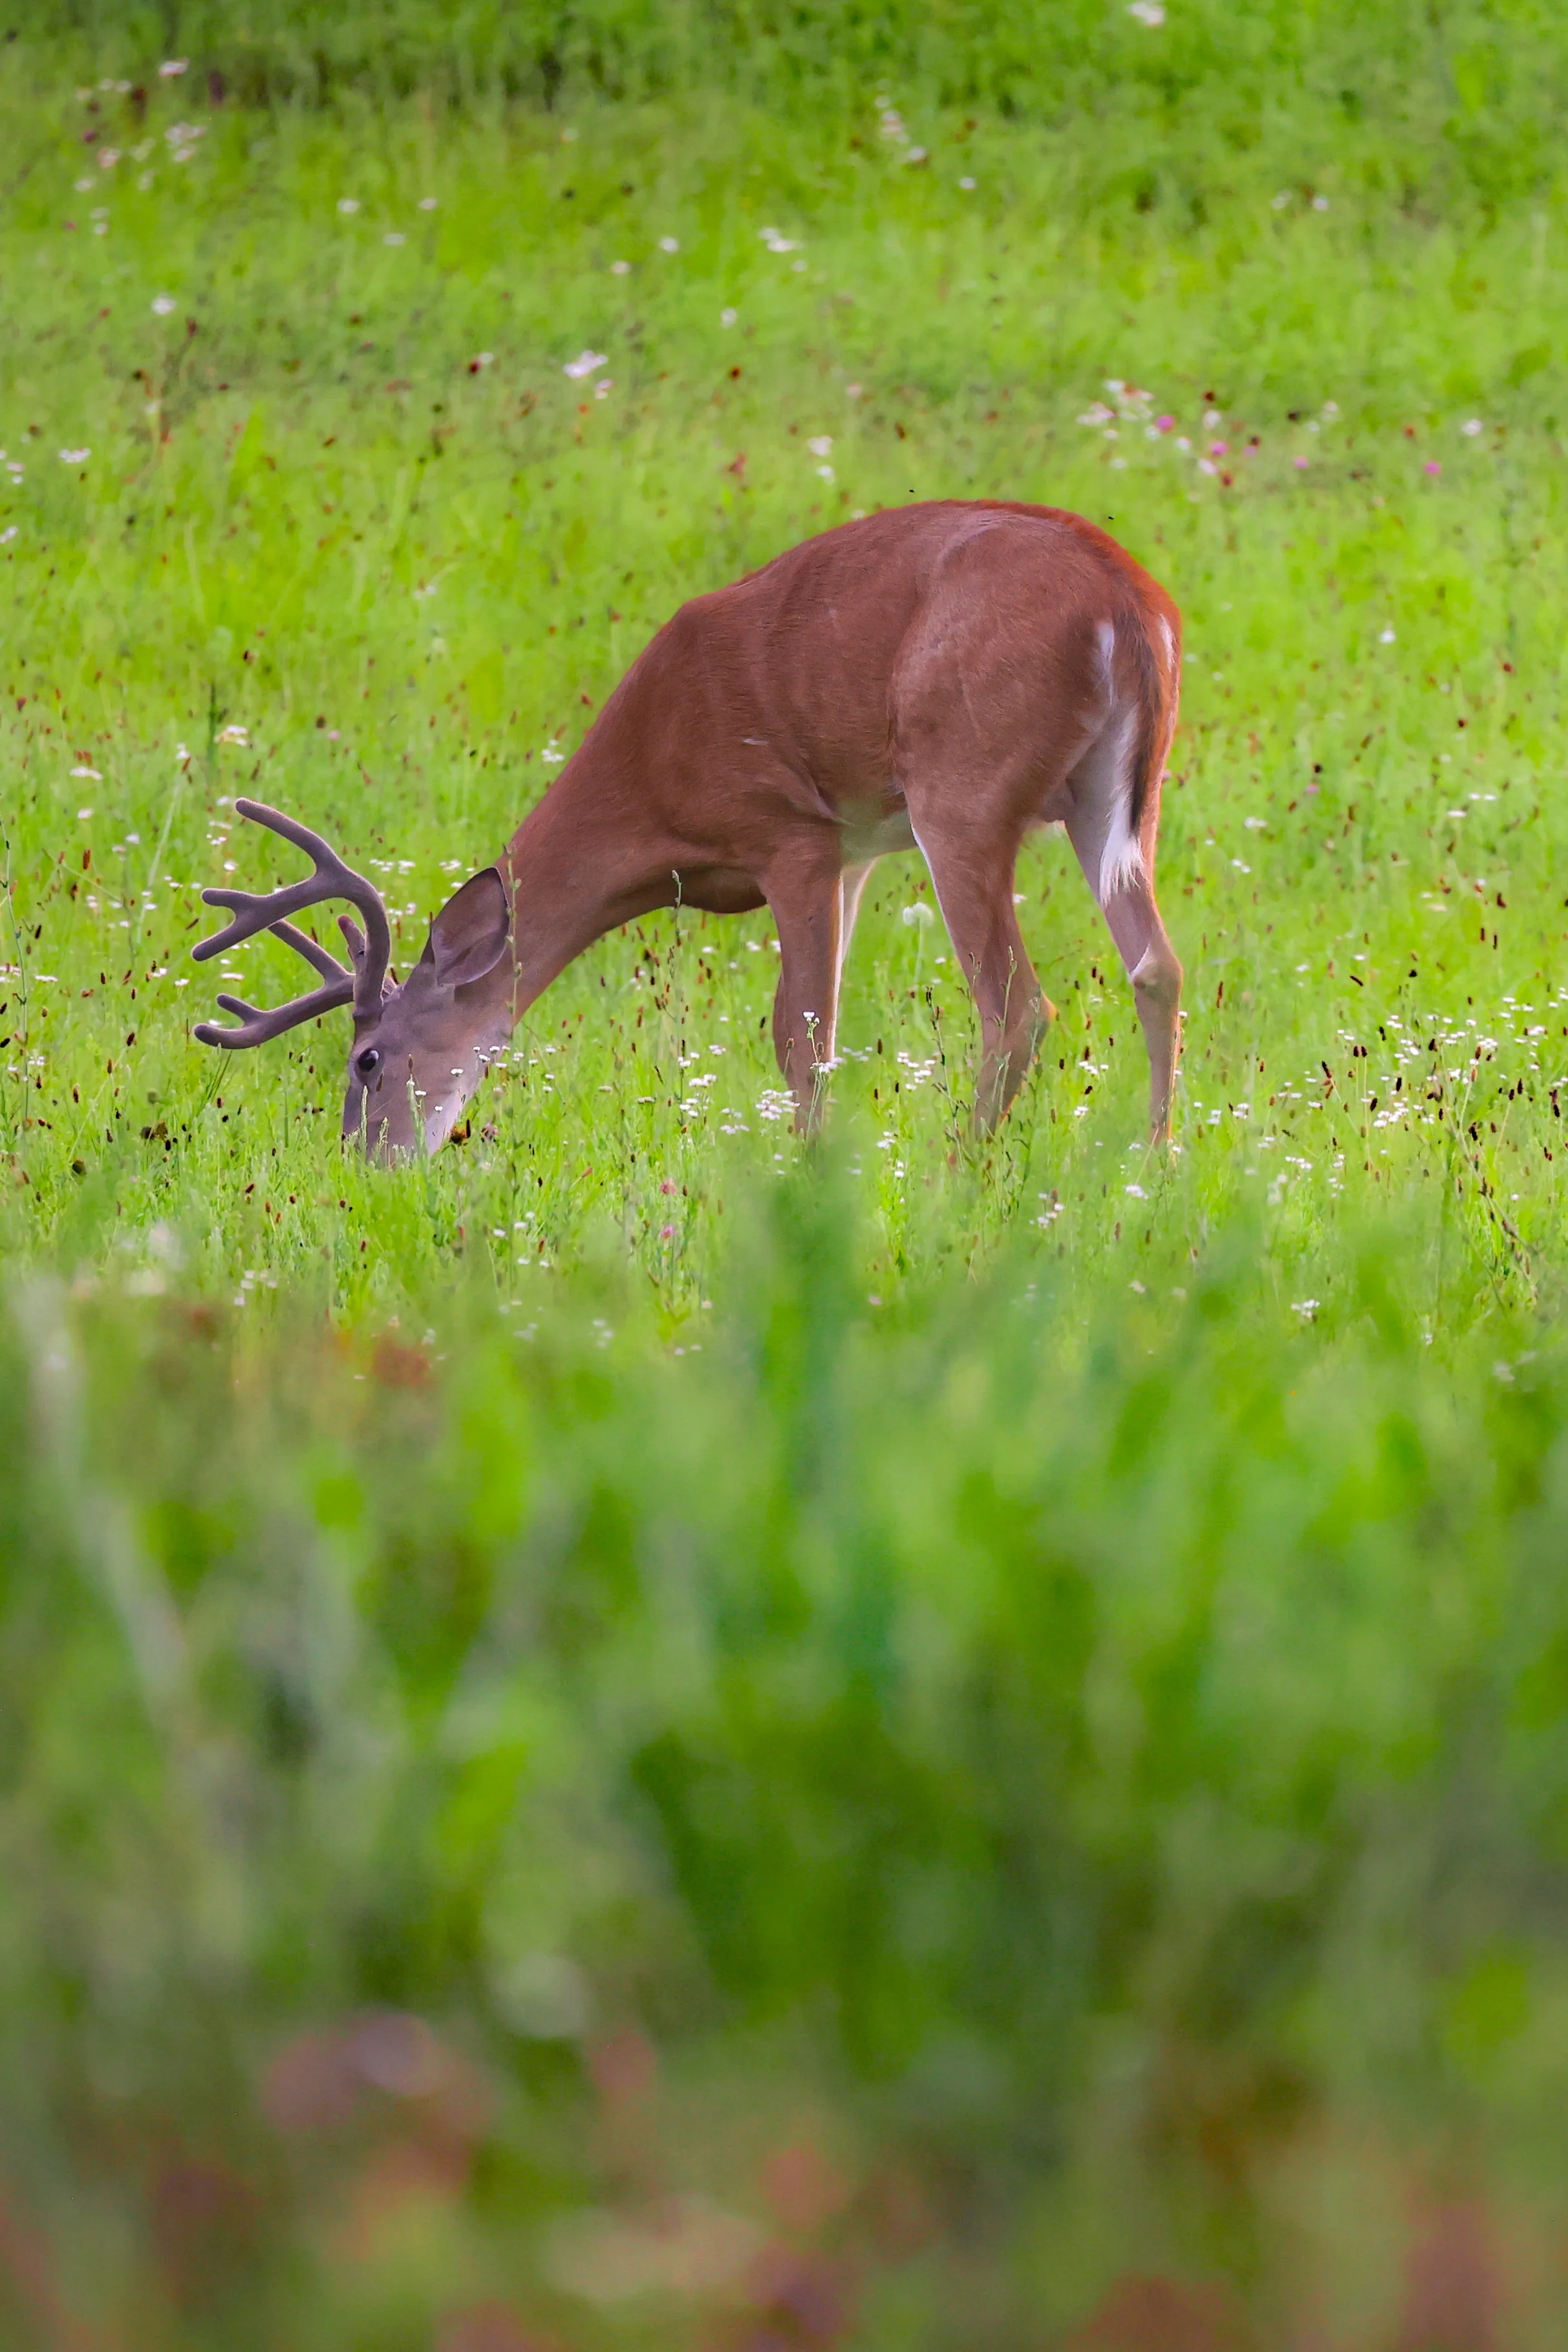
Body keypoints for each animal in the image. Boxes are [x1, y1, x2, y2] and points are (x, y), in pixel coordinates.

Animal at [193, 499, 1184, 1156]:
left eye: (367, 1059)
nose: (365, 1162)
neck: (654, 793)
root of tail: (1129, 599)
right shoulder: (854, 852)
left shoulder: (792, 834)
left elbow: (802, 1038)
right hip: (1114, 795)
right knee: (1155, 966)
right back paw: (1154, 1162)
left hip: (962, 785)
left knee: (1015, 1004)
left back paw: (960, 1170)